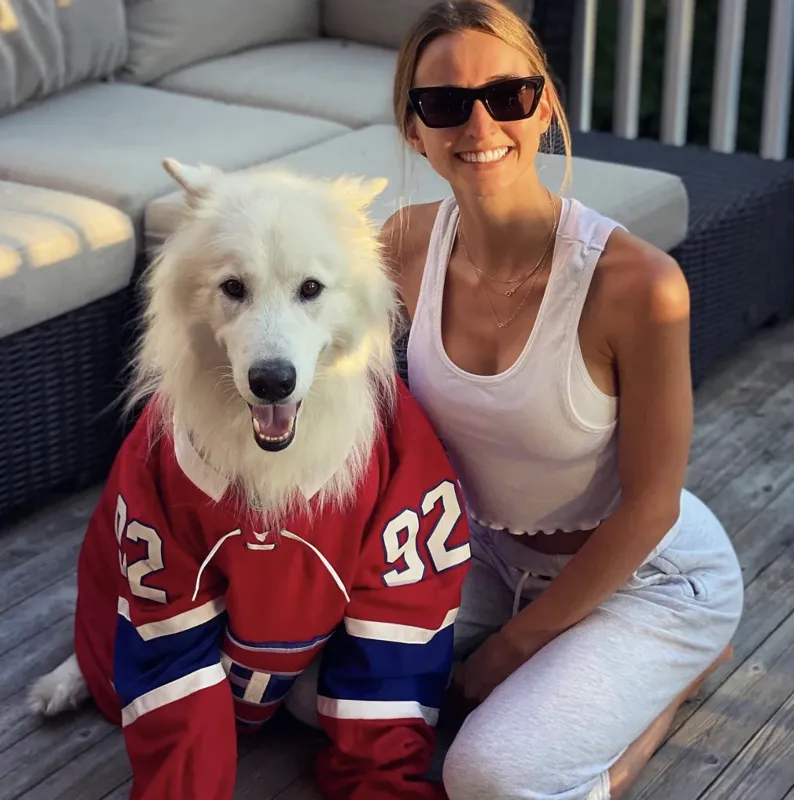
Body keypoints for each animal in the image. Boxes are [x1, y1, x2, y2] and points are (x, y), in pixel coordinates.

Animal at [27, 158, 468, 800]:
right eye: (233, 288)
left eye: (311, 289)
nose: (272, 382)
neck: (269, 469)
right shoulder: (164, 584)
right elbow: (181, 707)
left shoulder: (393, 595)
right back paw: (62, 684)